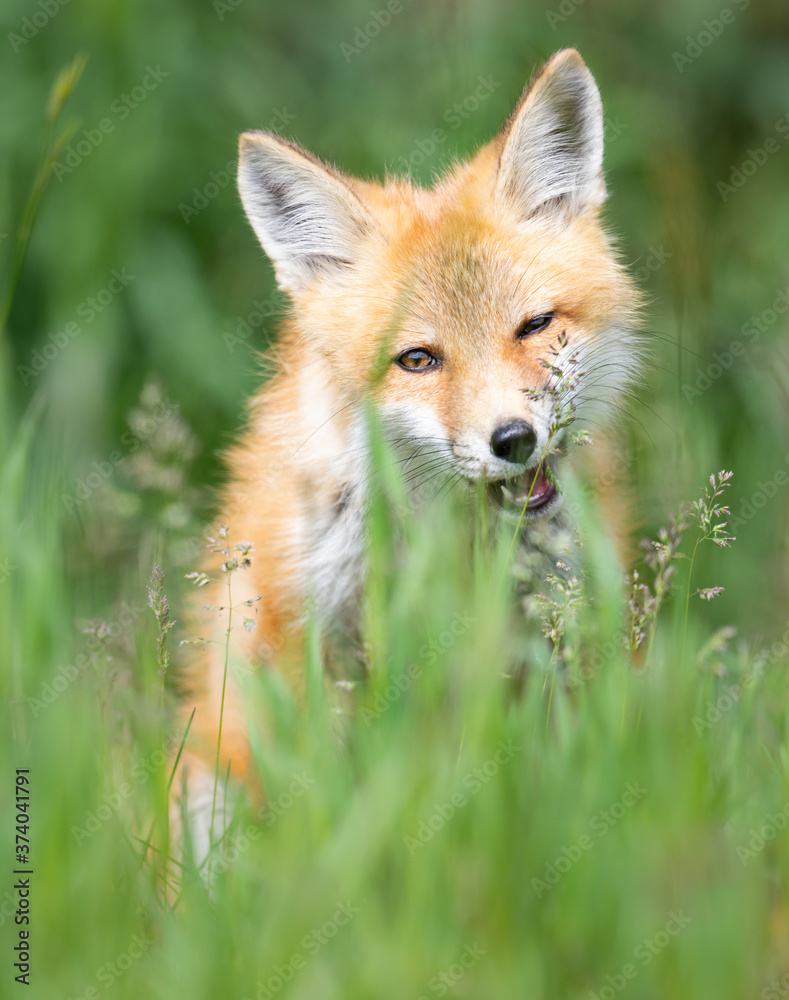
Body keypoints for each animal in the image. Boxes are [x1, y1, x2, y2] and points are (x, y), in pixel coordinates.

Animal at [171, 49, 641, 865]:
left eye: (535, 325)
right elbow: (318, 804)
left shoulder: (554, 639)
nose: (514, 440)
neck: (448, 545)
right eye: (417, 360)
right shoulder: (303, 642)